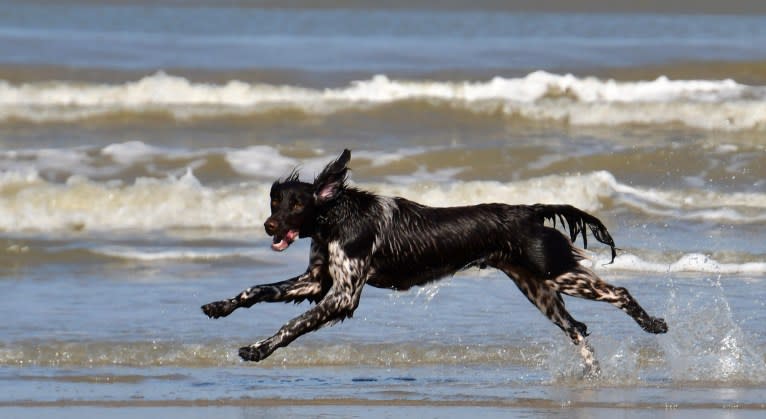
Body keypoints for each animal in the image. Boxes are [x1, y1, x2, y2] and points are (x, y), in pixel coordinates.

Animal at [202, 149, 664, 376]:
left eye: (298, 204)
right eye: (275, 201)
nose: (268, 225)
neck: (337, 217)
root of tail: (530, 210)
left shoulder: (343, 295)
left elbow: (291, 326)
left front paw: (258, 349)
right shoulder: (317, 282)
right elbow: (257, 290)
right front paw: (219, 306)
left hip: (559, 273)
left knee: (620, 292)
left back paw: (654, 323)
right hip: (538, 289)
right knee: (578, 330)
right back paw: (594, 375)